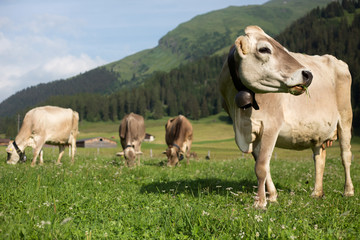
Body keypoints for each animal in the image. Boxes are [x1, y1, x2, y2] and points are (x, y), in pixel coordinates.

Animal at [219, 25, 354, 208]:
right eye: (264, 49)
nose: (308, 75)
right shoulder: (252, 132)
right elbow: (264, 164)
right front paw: (272, 196)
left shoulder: (271, 125)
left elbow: (261, 166)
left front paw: (260, 202)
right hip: (317, 131)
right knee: (319, 158)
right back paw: (317, 193)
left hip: (346, 118)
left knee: (345, 156)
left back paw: (348, 191)